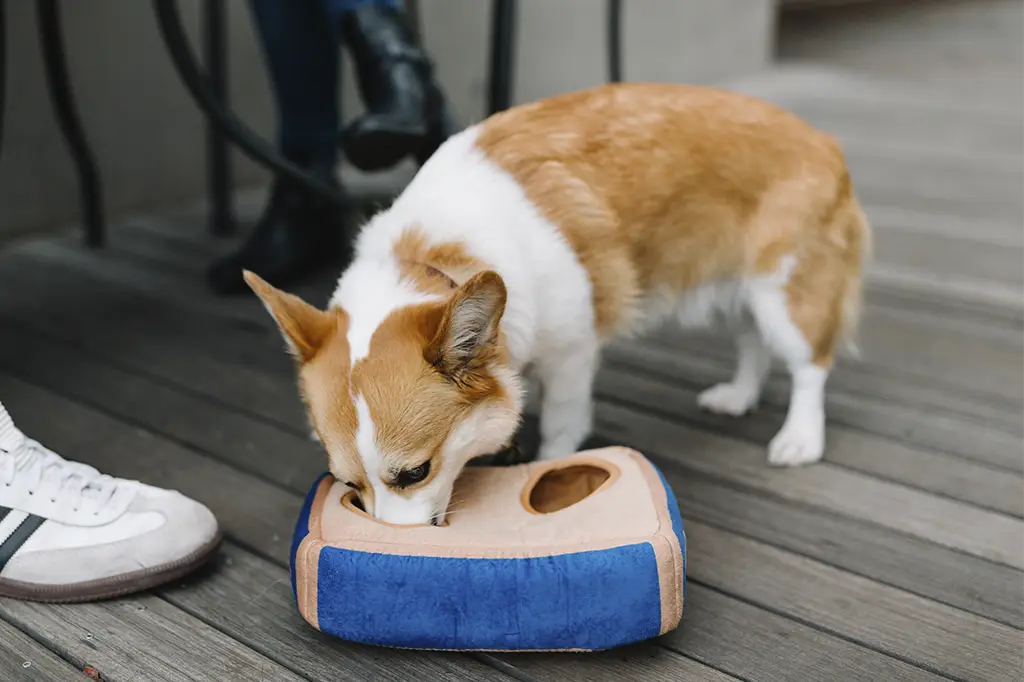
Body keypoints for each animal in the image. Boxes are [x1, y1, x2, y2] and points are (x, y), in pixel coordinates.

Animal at [245, 82, 872, 522]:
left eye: (415, 472)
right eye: (347, 482)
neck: (435, 257)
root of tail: (825, 141)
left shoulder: (572, 352)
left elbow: (562, 428)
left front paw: (548, 469)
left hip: (782, 293)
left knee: (809, 364)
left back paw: (800, 438)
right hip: (735, 291)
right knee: (750, 343)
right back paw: (738, 396)